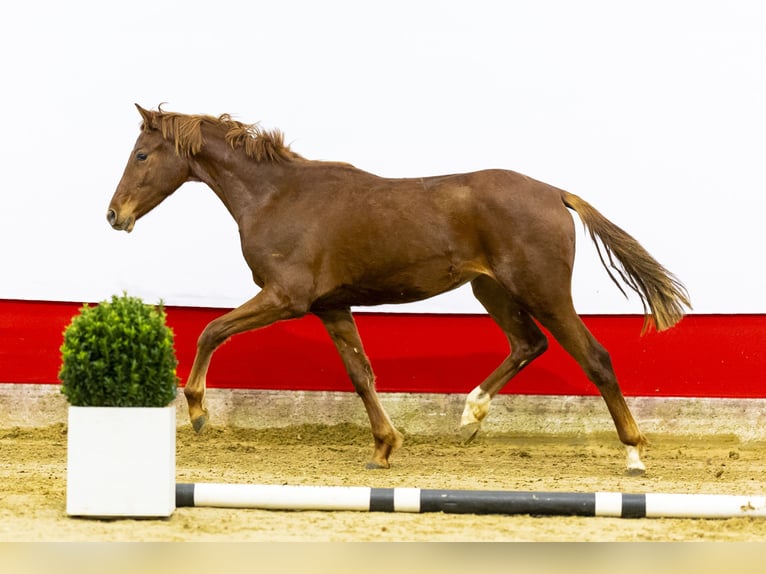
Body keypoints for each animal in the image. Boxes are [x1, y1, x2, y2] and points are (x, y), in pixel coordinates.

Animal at [109, 106, 696, 474]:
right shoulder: (331, 306)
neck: (277, 197)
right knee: (529, 344)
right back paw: (469, 416)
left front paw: (198, 412)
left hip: (543, 291)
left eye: (141, 155)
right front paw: (384, 448)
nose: (115, 215)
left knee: (594, 357)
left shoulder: (286, 299)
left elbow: (210, 329)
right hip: (493, 292)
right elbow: (361, 374)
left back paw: (634, 455)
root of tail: (556, 193)